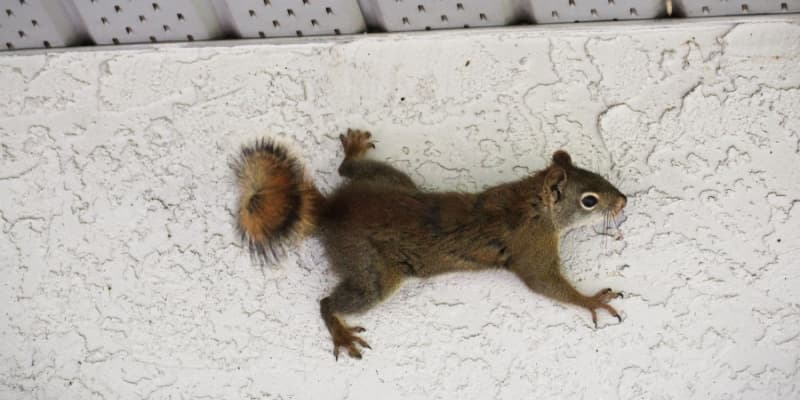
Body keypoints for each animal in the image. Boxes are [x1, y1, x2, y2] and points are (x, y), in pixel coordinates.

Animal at [233, 129, 628, 360]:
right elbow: (545, 283)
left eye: (598, 175)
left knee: (349, 172)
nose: (623, 201)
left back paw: (354, 152)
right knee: (329, 301)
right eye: (589, 200)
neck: (531, 203)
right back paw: (341, 333)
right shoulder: (531, 248)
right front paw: (592, 300)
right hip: (372, 271)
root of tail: (332, 211)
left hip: (392, 180)